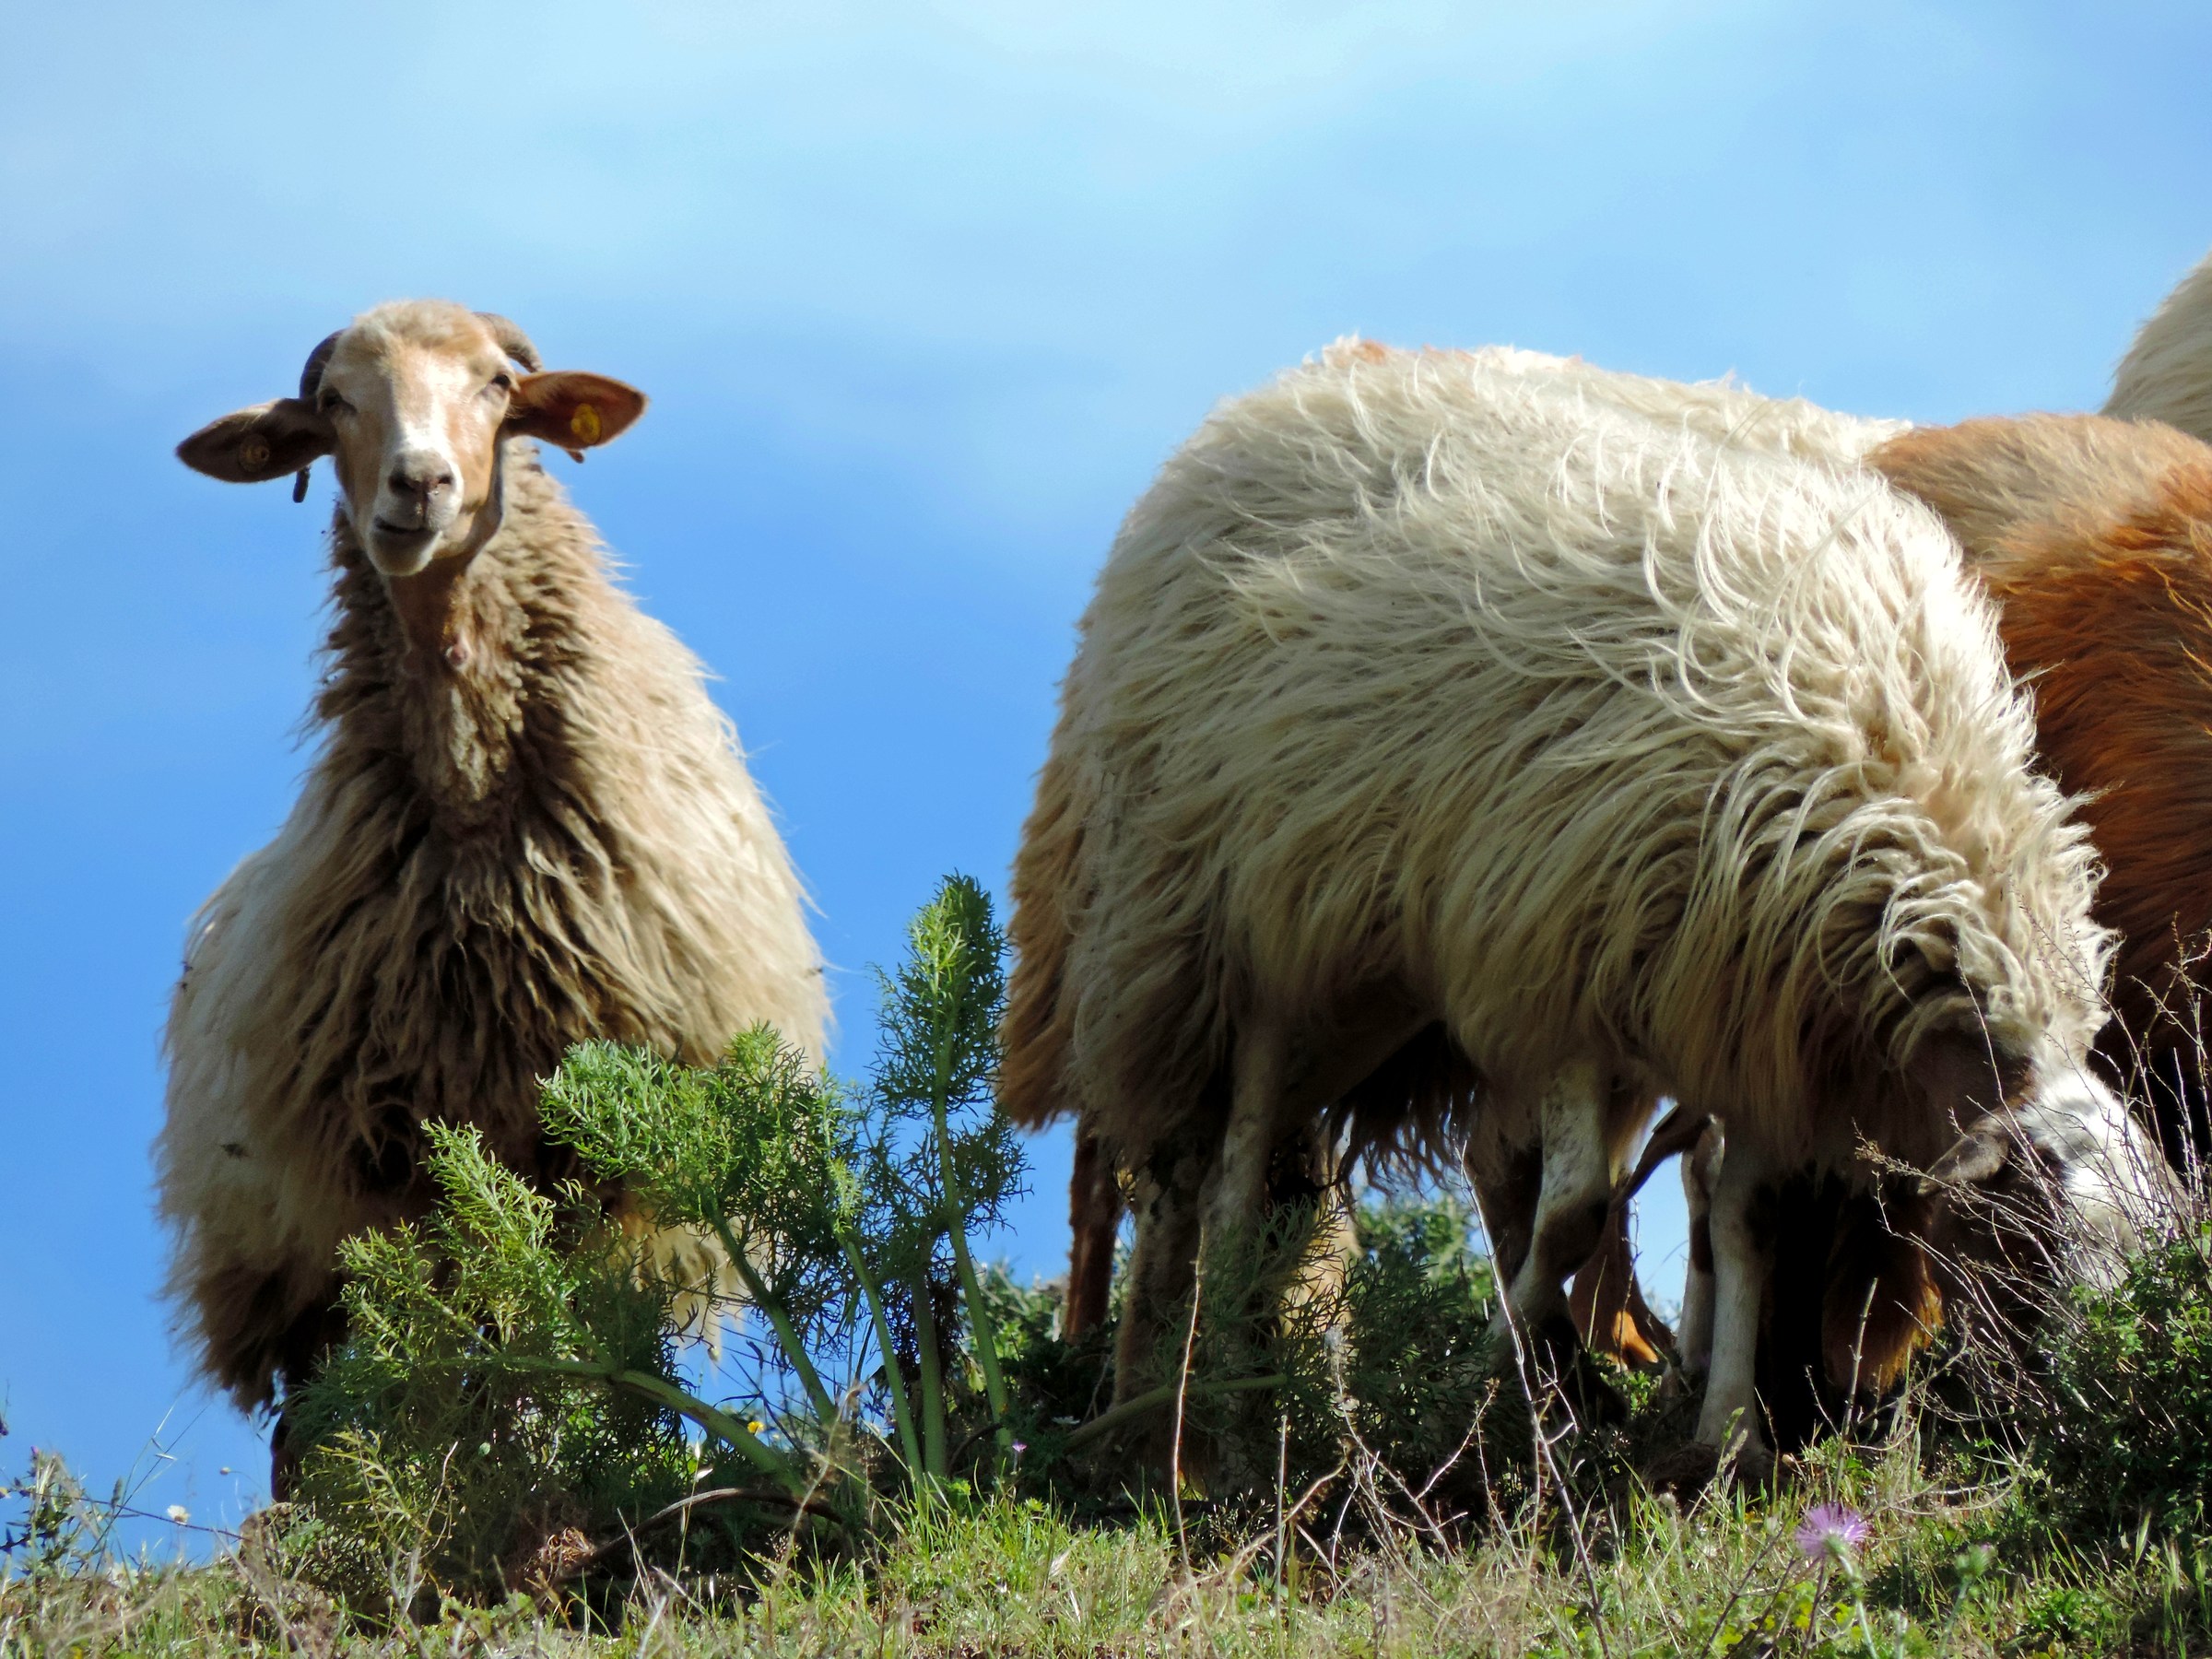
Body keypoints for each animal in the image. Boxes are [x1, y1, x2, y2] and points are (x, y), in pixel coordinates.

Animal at [161, 301, 827, 1473]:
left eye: (495, 390)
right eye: (333, 401)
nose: (418, 486)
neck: (474, 818)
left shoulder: (593, 1156)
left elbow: (560, 1359)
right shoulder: (397, 1162)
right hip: (291, 1261)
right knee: (319, 1415)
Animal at [1002, 338, 2154, 1470]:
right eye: (2028, 1239)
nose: (2083, 1420)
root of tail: (1274, 399)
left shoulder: (1755, 1020)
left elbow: (1748, 1215)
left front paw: (1727, 1440)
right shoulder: (1560, 970)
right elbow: (1574, 1215)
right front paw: (1486, 1382)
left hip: (1366, 990)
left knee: (1233, 1178)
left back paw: (1190, 1401)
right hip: (1235, 938)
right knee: (1222, 1181)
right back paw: (1196, 1424)